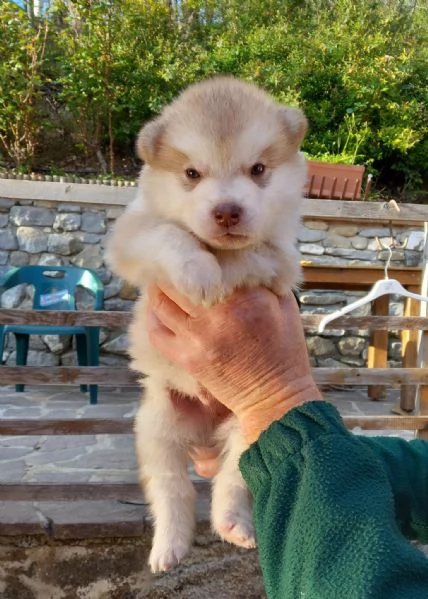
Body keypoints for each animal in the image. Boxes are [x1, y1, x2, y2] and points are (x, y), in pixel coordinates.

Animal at [106, 77, 308, 576]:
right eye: (192, 174)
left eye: (258, 169)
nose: (227, 211)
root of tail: (204, 435)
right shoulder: (131, 235)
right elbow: (171, 234)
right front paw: (199, 272)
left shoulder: (283, 259)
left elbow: (253, 254)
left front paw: (219, 274)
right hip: (157, 424)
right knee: (171, 489)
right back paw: (169, 547)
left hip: (250, 428)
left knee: (233, 480)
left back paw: (234, 525)